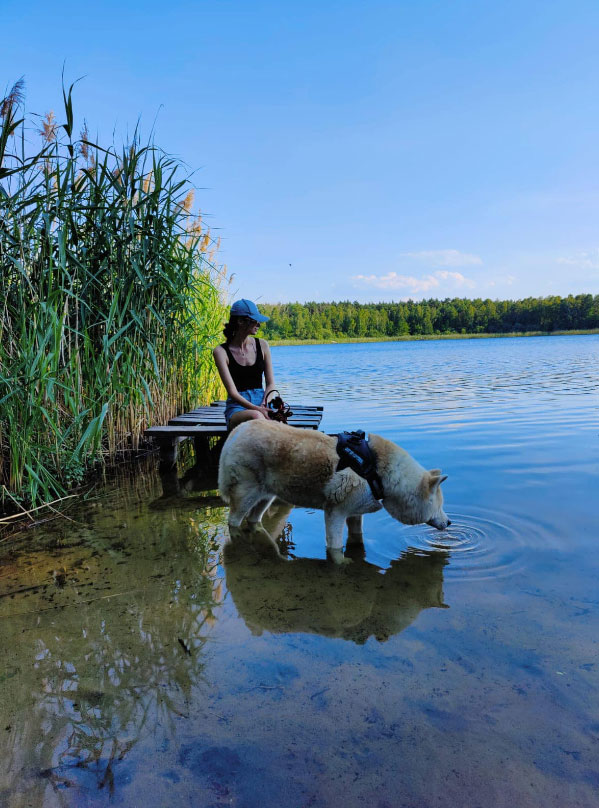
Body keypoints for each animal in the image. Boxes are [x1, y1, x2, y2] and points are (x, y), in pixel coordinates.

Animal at [217, 420, 450, 564]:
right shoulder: (335, 512)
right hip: (246, 494)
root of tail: (236, 431)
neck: (378, 471)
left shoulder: (355, 513)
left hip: (267, 496)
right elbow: (335, 545)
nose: (449, 523)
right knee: (234, 520)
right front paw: (342, 562)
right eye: (439, 505)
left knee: (254, 519)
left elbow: (357, 537)